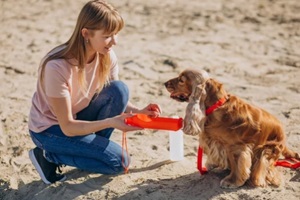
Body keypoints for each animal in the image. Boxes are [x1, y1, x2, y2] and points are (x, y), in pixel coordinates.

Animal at [165, 68, 298, 188]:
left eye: (181, 80)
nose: (165, 83)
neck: (216, 106)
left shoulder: (236, 147)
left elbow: (236, 165)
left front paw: (232, 181)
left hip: (267, 149)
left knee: (267, 168)